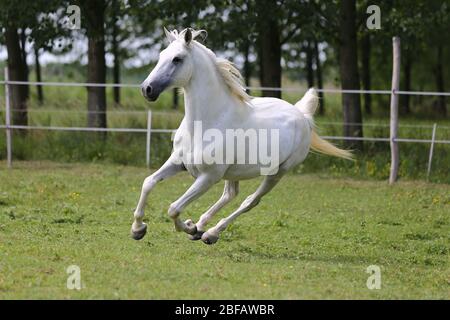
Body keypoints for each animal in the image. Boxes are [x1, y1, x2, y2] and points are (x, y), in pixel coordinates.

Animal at [130, 28, 352, 245]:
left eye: (177, 59)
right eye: (161, 55)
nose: (147, 89)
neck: (208, 122)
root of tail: (302, 115)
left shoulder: (209, 177)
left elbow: (174, 208)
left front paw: (187, 227)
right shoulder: (178, 162)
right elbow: (148, 182)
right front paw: (138, 229)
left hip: (277, 173)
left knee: (250, 201)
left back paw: (210, 233)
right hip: (233, 173)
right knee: (230, 194)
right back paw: (201, 227)